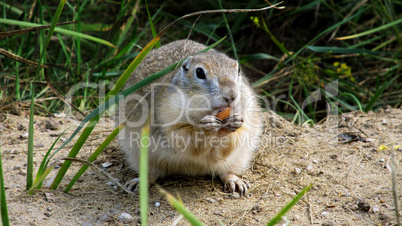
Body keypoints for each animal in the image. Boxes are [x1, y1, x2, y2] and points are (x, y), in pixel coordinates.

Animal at [114, 39, 262, 196]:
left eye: (238, 70)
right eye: (200, 72)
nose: (232, 96)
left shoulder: (247, 120)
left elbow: (234, 139)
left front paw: (234, 123)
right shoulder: (169, 119)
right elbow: (185, 137)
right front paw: (207, 126)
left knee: (225, 171)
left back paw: (236, 182)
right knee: (151, 174)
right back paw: (137, 184)